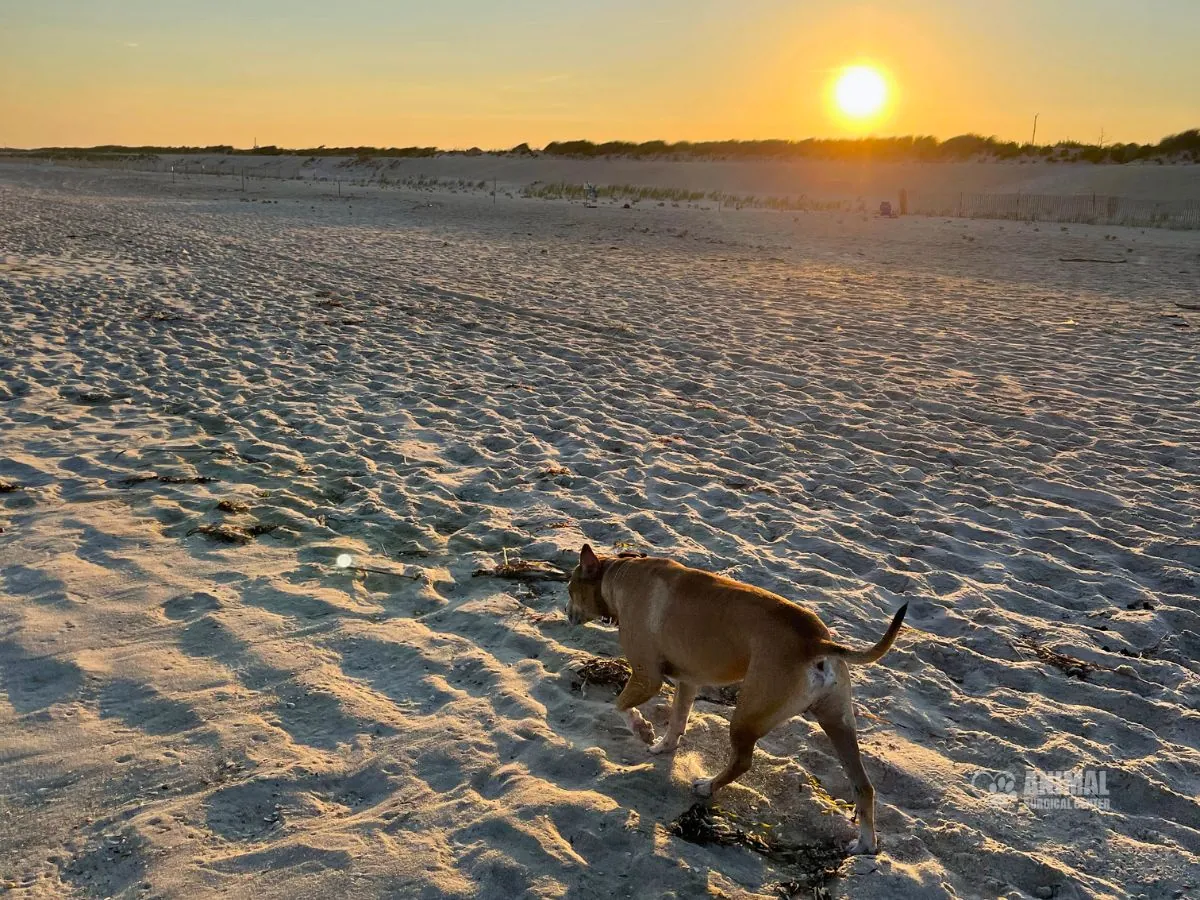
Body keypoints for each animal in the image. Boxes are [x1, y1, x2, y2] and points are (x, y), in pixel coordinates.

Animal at [566, 542, 902, 854]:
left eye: (570, 590)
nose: (567, 614)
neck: (619, 574)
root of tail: (816, 642)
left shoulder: (647, 677)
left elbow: (621, 704)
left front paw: (643, 730)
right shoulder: (688, 682)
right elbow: (676, 721)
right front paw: (663, 745)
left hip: (747, 716)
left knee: (742, 762)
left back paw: (706, 786)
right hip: (838, 723)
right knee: (863, 785)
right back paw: (865, 844)